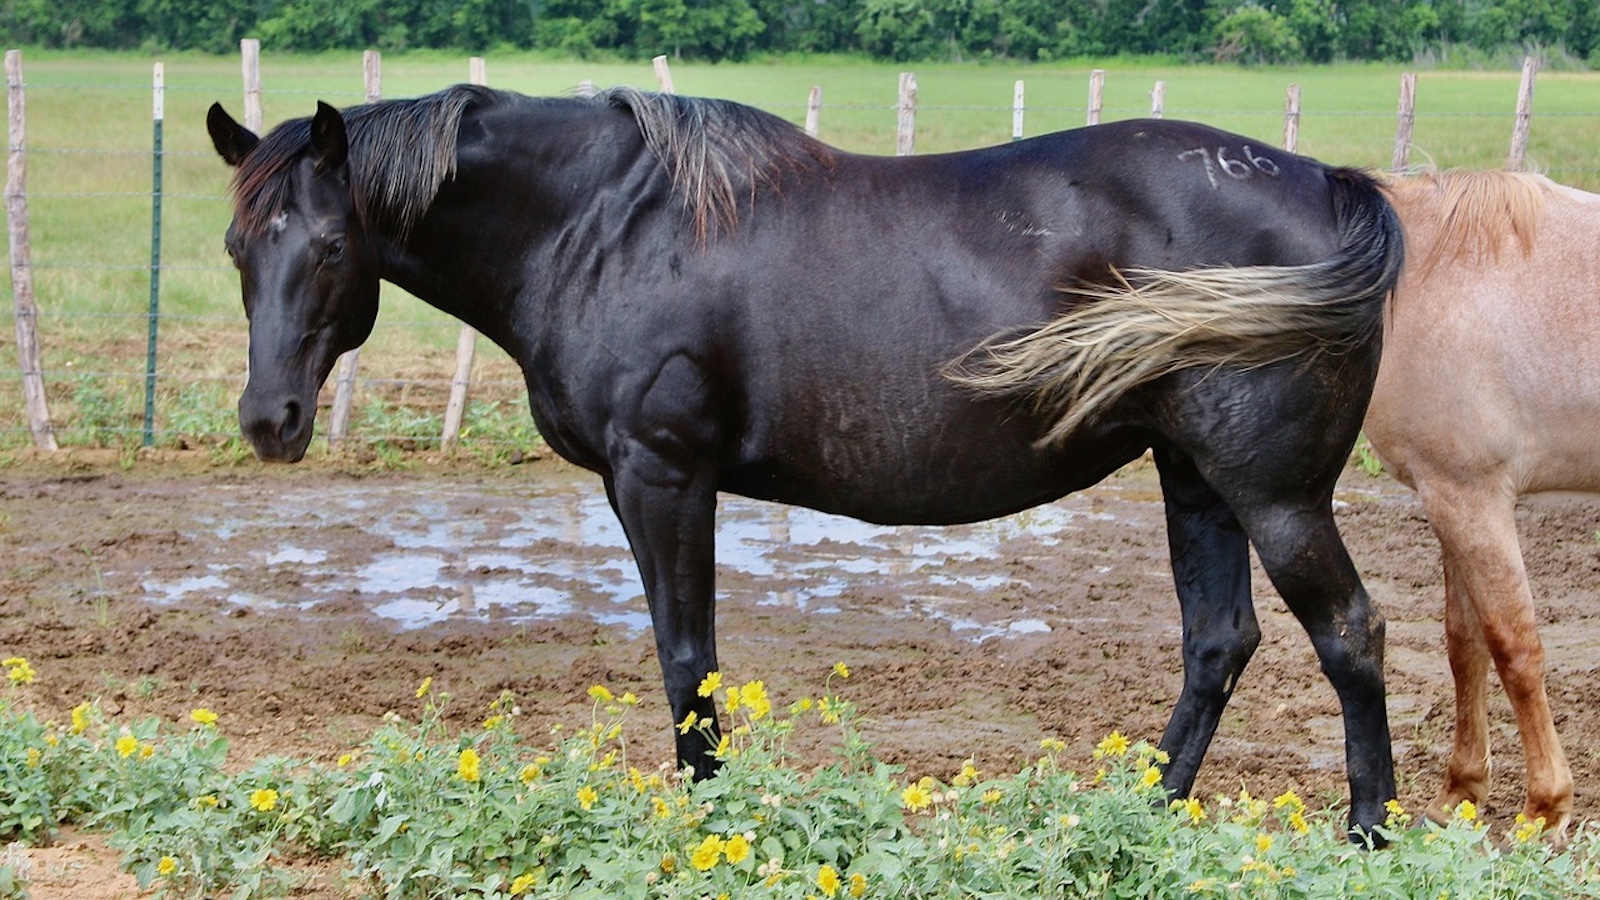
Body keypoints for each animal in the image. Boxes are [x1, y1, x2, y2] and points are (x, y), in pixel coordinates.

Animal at [206, 84, 1404, 835]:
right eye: (235, 247)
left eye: (329, 245)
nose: (270, 420)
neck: (601, 224)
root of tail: (1327, 183)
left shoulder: (663, 476)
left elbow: (687, 660)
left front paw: (709, 817)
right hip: (1194, 477)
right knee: (1218, 643)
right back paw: (1142, 817)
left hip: (1274, 494)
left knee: (1349, 634)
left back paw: (1368, 832)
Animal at [1369, 169, 1600, 836]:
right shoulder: (1449, 497)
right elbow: (1463, 643)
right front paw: (1461, 793)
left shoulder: (1471, 496)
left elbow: (1512, 645)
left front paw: (1545, 809)